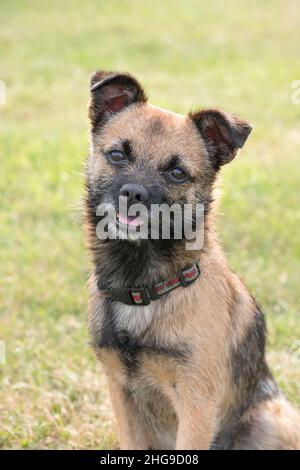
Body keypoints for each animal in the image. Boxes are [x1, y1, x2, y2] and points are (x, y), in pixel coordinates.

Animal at [84, 71, 300, 450]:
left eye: (177, 173)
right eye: (117, 154)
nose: (133, 194)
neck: (144, 286)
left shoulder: (196, 402)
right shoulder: (120, 392)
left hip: (272, 420)